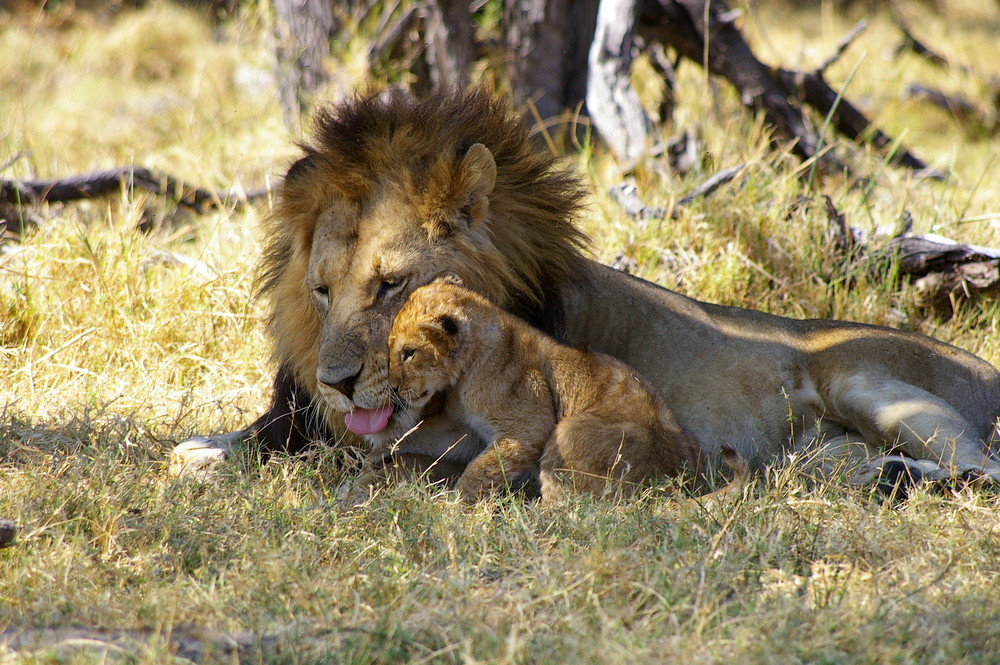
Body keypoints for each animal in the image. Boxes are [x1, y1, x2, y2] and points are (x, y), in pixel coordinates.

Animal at [172, 85, 1000, 486]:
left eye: (391, 285)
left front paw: (215, 463)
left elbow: (346, 457)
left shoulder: (472, 435)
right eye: (321, 291)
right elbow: (252, 438)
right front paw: (203, 449)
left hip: (871, 383)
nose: (338, 383)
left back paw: (902, 476)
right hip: (823, 449)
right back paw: (880, 478)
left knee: (982, 471)